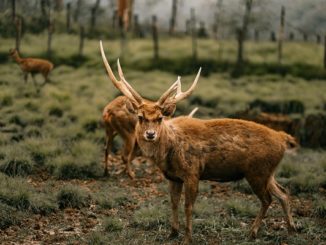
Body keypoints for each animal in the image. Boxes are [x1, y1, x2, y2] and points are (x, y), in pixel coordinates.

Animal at [100, 41, 296, 243]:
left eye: (160, 118)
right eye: (140, 117)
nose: (150, 134)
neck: (169, 152)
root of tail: (283, 138)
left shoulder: (192, 172)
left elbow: (188, 206)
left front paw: (187, 237)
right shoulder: (173, 177)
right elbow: (173, 203)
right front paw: (172, 233)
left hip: (257, 171)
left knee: (268, 199)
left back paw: (253, 232)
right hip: (267, 172)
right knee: (283, 193)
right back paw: (291, 229)